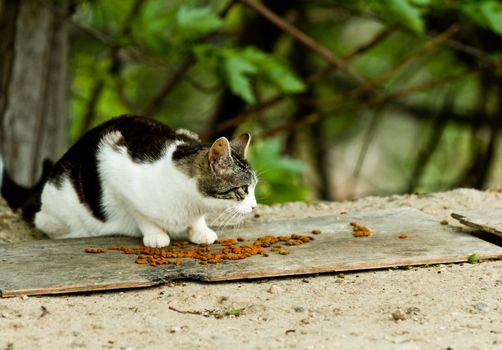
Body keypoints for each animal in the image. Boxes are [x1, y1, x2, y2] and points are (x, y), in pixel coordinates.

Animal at [0, 115, 256, 246]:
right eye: (243, 189)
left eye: (254, 188)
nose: (254, 206)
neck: (188, 204)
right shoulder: (112, 163)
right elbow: (140, 214)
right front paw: (156, 235)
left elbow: (197, 220)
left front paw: (200, 230)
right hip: (57, 216)